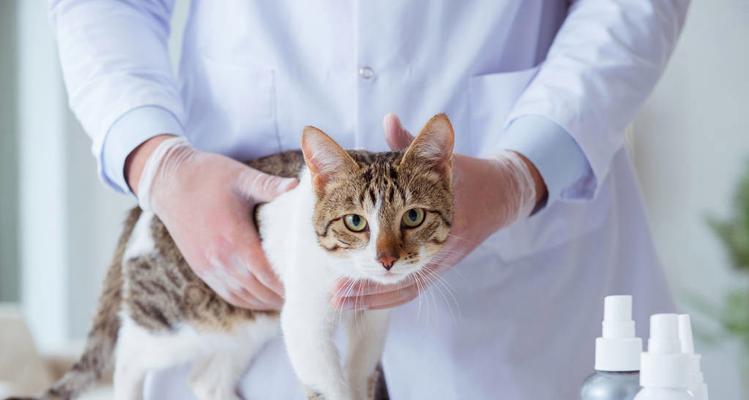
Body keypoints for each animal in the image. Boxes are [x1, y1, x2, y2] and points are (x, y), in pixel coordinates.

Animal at [14, 112, 452, 400]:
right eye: (356, 222)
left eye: (413, 217)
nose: (386, 259)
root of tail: (144, 208)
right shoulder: (304, 322)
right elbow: (327, 383)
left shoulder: (373, 320)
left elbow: (359, 371)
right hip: (179, 319)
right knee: (128, 355)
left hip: (246, 318)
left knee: (206, 379)